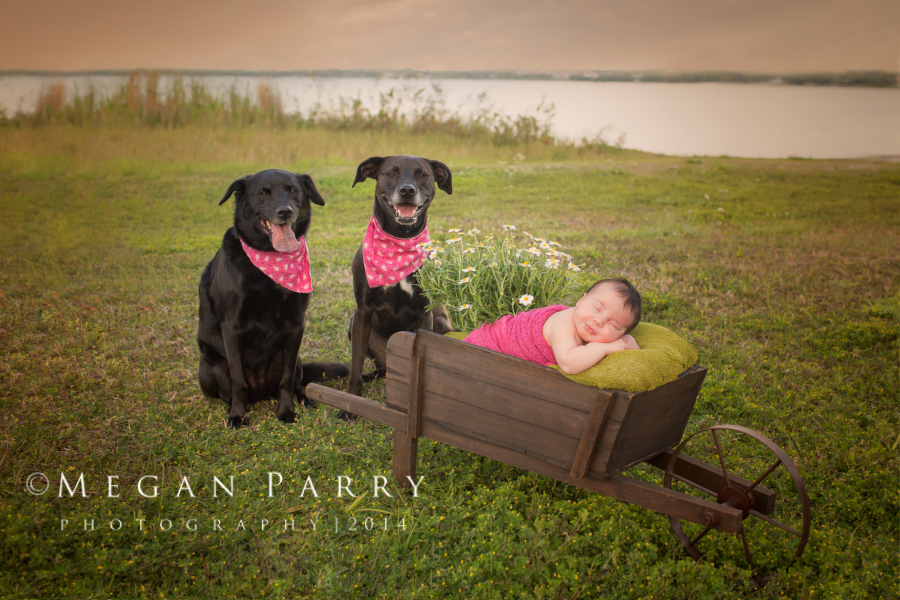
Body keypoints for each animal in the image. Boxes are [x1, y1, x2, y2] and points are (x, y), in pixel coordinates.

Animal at [197, 169, 348, 426]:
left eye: (294, 191)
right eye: (263, 193)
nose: (285, 211)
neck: (270, 260)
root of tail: (261, 394)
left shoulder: (296, 325)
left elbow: (285, 379)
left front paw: (286, 411)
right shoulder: (232, 327)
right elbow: (238, 380)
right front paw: (237, 416)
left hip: (296, 360)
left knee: (295, 382)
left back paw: (304, 399)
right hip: (209, 368)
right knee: (230, 389)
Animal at [346, 156, 458, 412]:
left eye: (422, 175)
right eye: (391, 173)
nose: (407, 190)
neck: (399, 239)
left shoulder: (425, 314)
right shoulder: (362, 312)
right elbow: (355, 364)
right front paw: (350, 406)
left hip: (440, 322)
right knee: (381, 368)